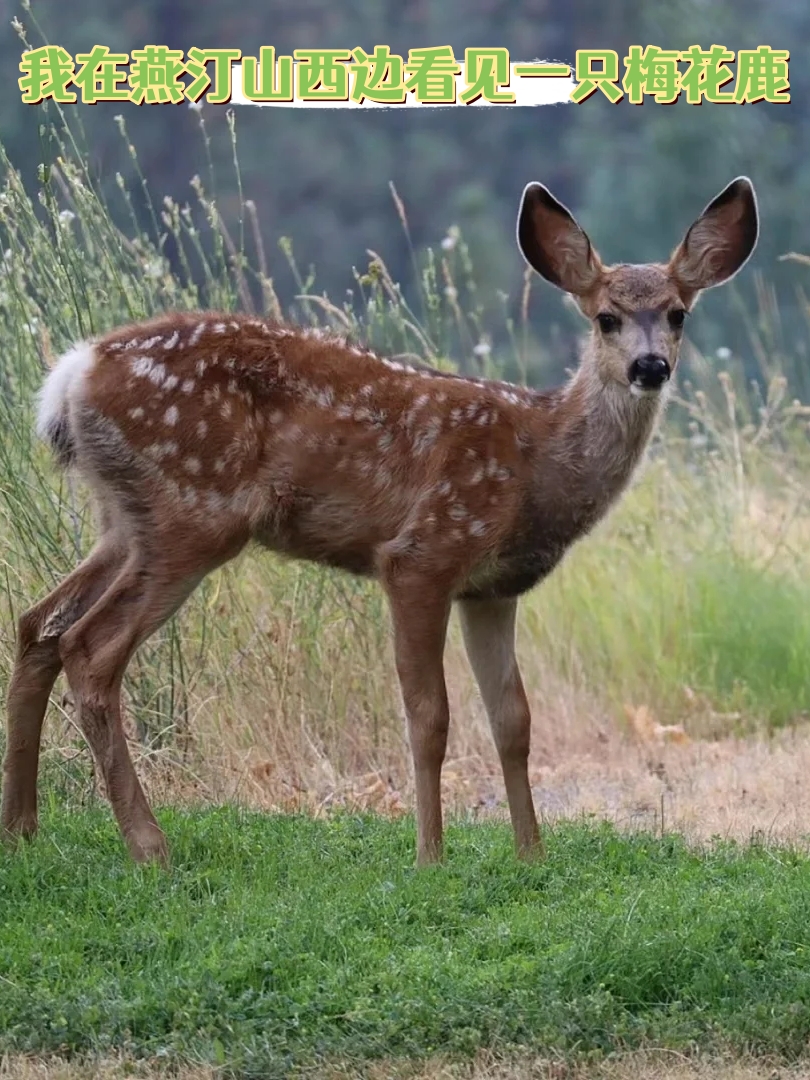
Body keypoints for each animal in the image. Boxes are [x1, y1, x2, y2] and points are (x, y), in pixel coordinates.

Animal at [1, 177, 760, 868]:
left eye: (677, 313)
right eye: (606, 317)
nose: (650, 366)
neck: (537, 459)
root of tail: (71, 376)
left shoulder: (491, 588)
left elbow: (512, 719)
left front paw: (531, 856)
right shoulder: (423, 553)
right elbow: (430, 716)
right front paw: (430, 856)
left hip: (124, 520)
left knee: (39, 625)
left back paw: (24, 828)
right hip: (192, 511)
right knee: (91, 648)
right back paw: (149, 846)